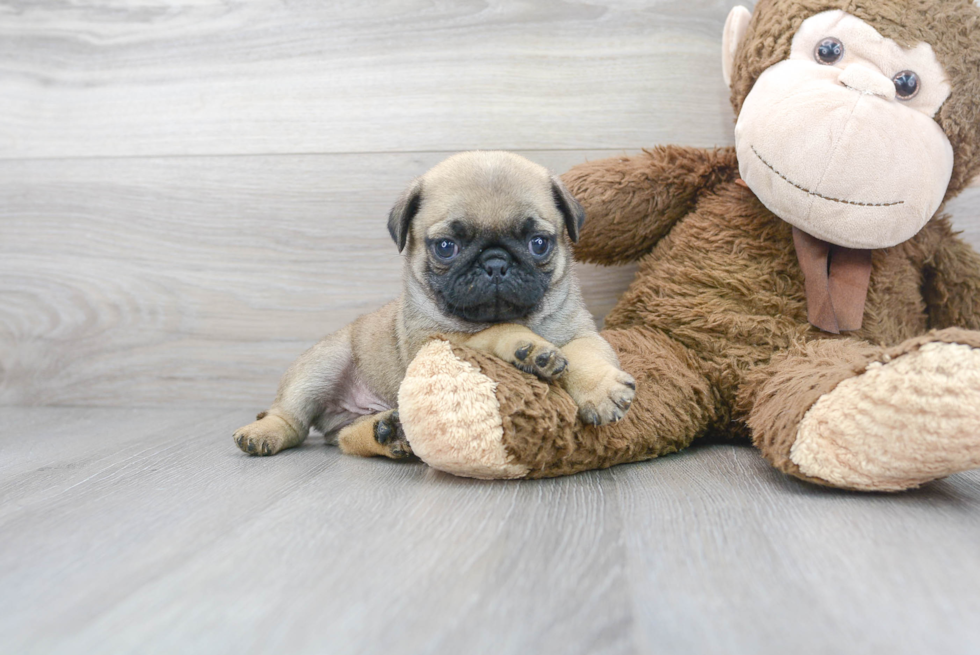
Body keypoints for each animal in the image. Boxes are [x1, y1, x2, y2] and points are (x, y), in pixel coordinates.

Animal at [234, 151, 640, 458]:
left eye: (539, 243)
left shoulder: (583, 334)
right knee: (292, 419)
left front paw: (601, 391)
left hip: (351, 417)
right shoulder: (435, 342)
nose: (496, 263)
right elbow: (497, 330)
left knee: (347, 438)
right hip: (321, 364)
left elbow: (585, 357)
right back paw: (264, 433)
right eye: (446, 247)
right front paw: (528, 348)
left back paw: (386, 431)